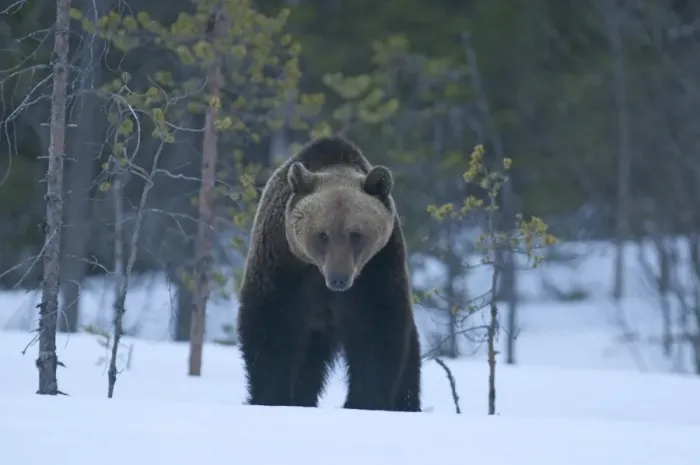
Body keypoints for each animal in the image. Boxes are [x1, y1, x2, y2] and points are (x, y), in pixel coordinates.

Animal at [236, 135, 421, 412]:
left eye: (356, 234)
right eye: (322, 234)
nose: (339, 279)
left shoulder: (377, 269)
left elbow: (376, 331)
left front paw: (365, 401)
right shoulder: (283, 264)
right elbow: (271, 325)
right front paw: (273, 397)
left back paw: (406, 404)